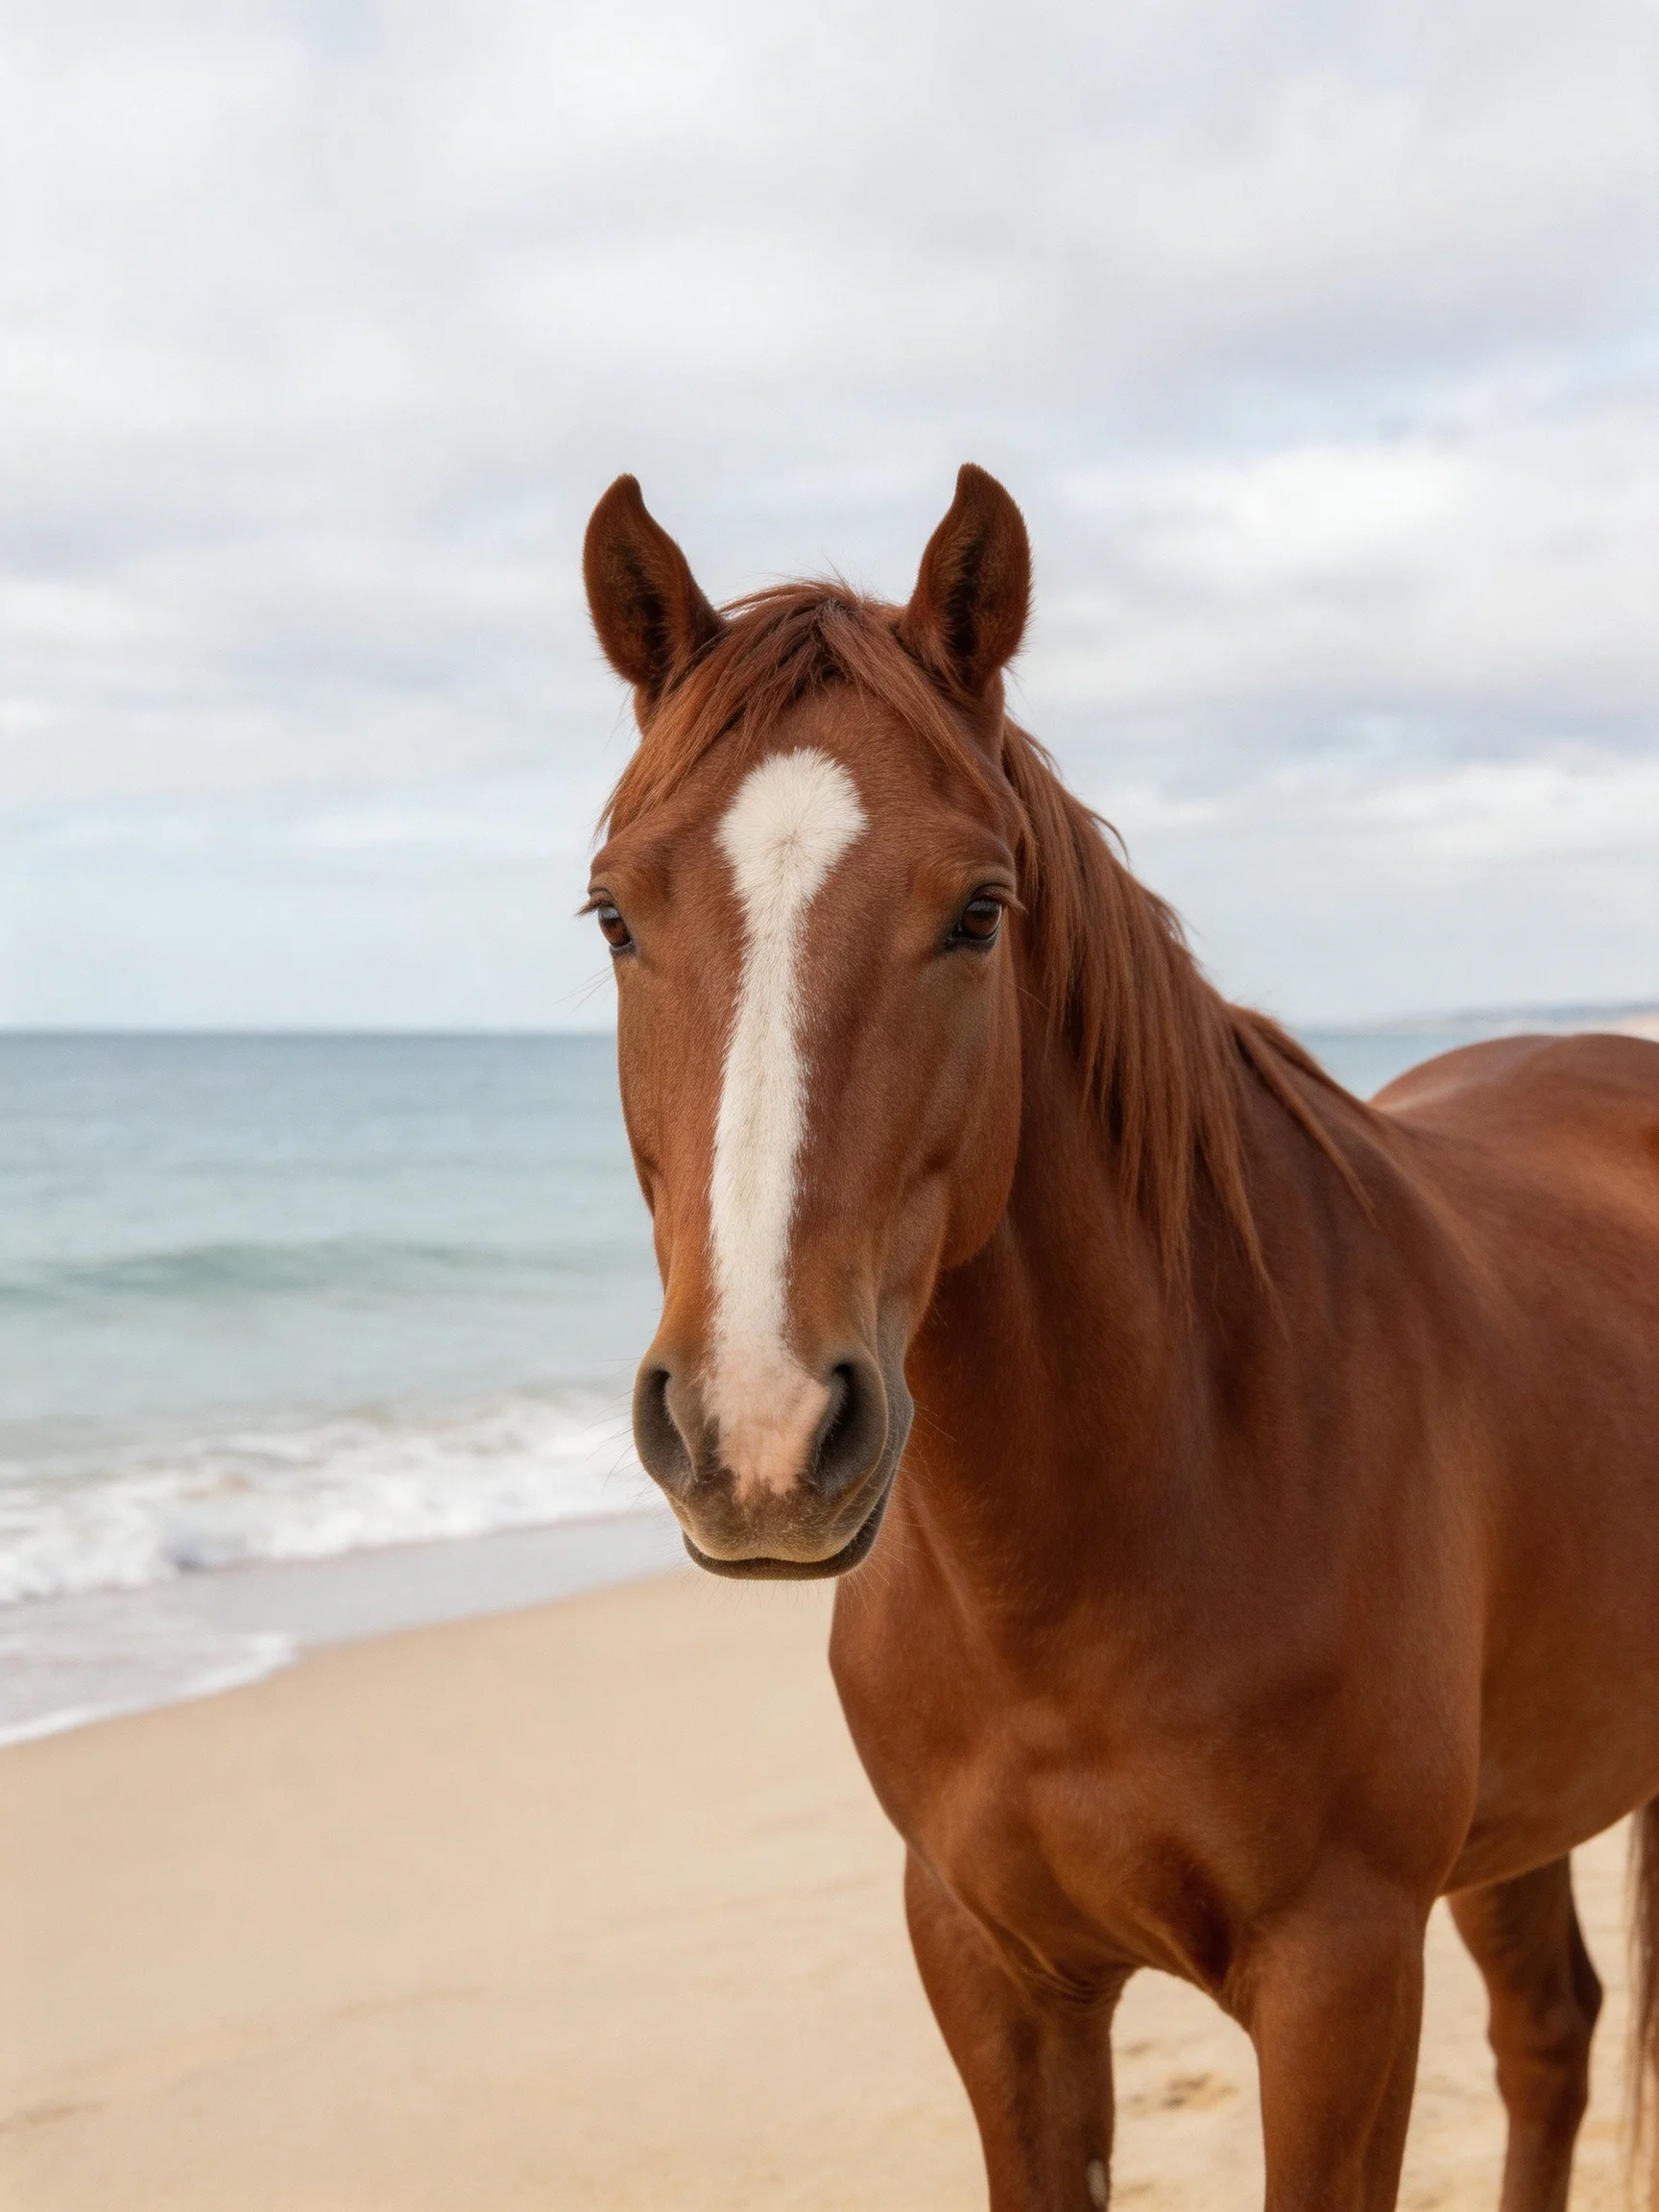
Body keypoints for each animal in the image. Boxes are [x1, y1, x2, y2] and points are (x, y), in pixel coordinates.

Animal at [580, 462, 1659, 2212]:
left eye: (978, 910)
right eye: (614, 910)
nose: (758, 1434)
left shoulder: (1341, 1981)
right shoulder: (991, 1969)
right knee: (1550, 2030)